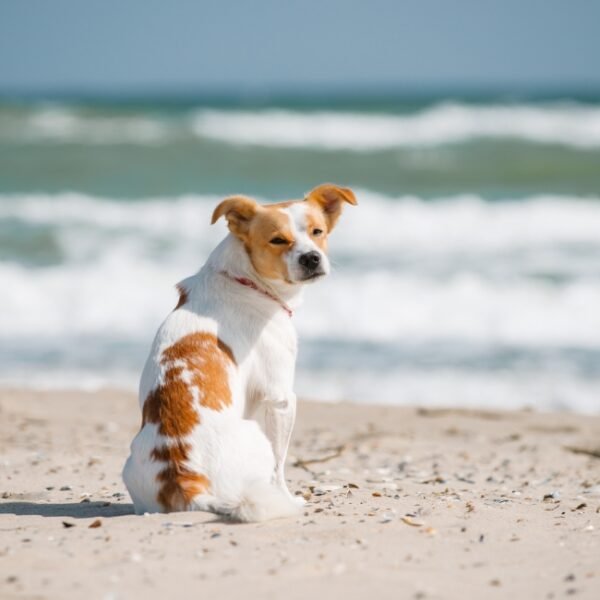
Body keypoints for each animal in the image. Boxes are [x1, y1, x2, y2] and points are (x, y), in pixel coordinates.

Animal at [122, 183, 356, 520]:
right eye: (277, 240)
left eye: (318, 231)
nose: (312, 258)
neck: (246, 281)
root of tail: (187, 480)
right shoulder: (281, 399)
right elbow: (280, 467)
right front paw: (289, 497)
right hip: (257, 435)